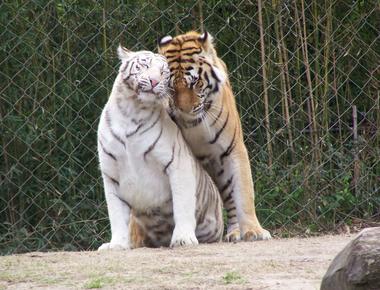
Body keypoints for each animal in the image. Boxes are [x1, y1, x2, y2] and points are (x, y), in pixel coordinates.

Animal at [96, 46, 224, 249]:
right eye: (144, 65)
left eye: (164, 72)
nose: (154, 81)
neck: (131, 112)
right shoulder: (111, 173)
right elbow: (116, 214)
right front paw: (117, 244)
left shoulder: (178, 164)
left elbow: (182, 204)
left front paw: (183, 238)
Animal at [157, 30, 270, 241]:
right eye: (171, 87)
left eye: (195, 82)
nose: (185, 110)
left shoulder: (234, 149)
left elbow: (244, 192)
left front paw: (254, 231)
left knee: (231, 199)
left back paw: (235, 232)